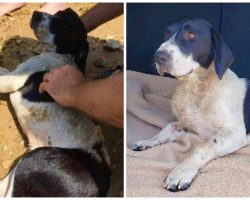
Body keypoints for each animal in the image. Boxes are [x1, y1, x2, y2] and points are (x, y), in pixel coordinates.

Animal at [0, 8, 110, 197]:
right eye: (59, 11)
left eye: (64, 25)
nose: (36, 13)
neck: (64, 54)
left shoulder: (13, 79)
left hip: (34, 160)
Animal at [131, 18, 250, 192]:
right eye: (166, 33)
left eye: (191, 35)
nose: (158, 57)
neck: (197, 90)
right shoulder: (188, 126)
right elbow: (167, 128)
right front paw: (148, 142)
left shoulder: (235, 133)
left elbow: (203, 146)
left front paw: (181, 172)